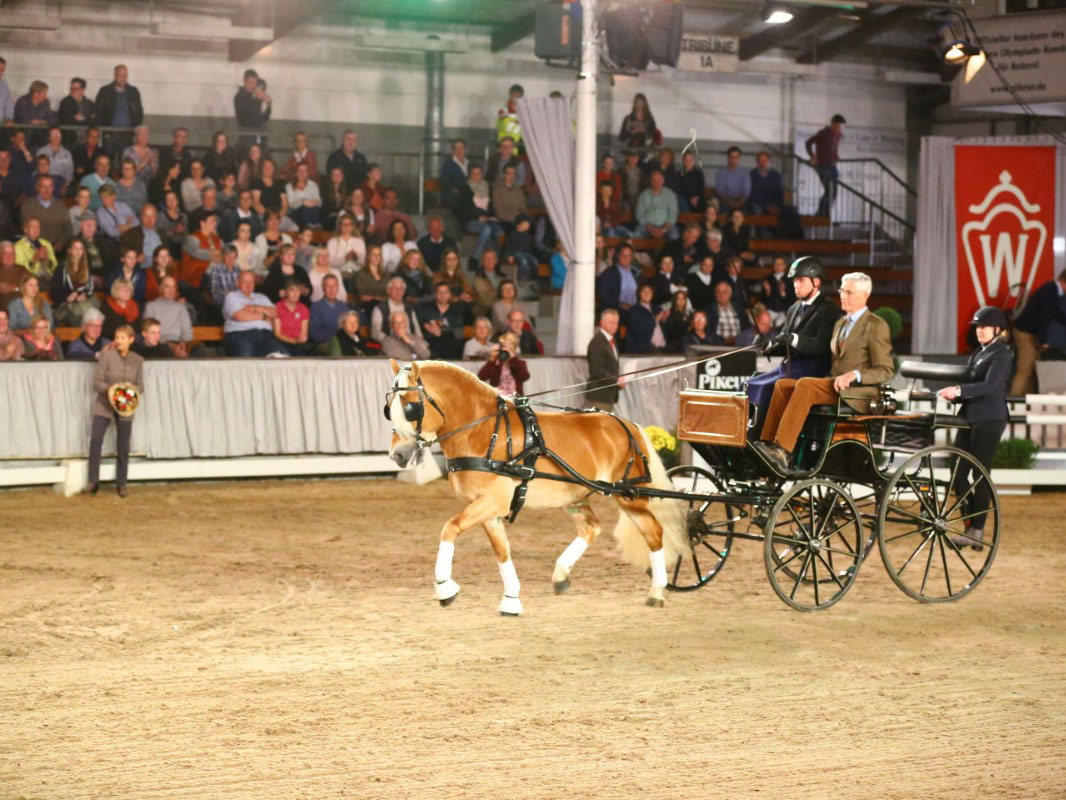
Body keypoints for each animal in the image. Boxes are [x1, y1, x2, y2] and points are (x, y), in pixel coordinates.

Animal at [388, 360, 686, 618]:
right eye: (388, 408)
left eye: (410, 407)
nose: (397, 455)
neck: (485, 430)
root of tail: (628, 425)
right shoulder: (487, 508)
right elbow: (502, 551)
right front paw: (511, 600)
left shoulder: (492, 501)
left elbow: (449, 528)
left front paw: (444, 588)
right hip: (577, 496)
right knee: (591, 528)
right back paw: (561, 576)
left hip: (628, 496)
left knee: (653, 532)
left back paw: (657, 591)